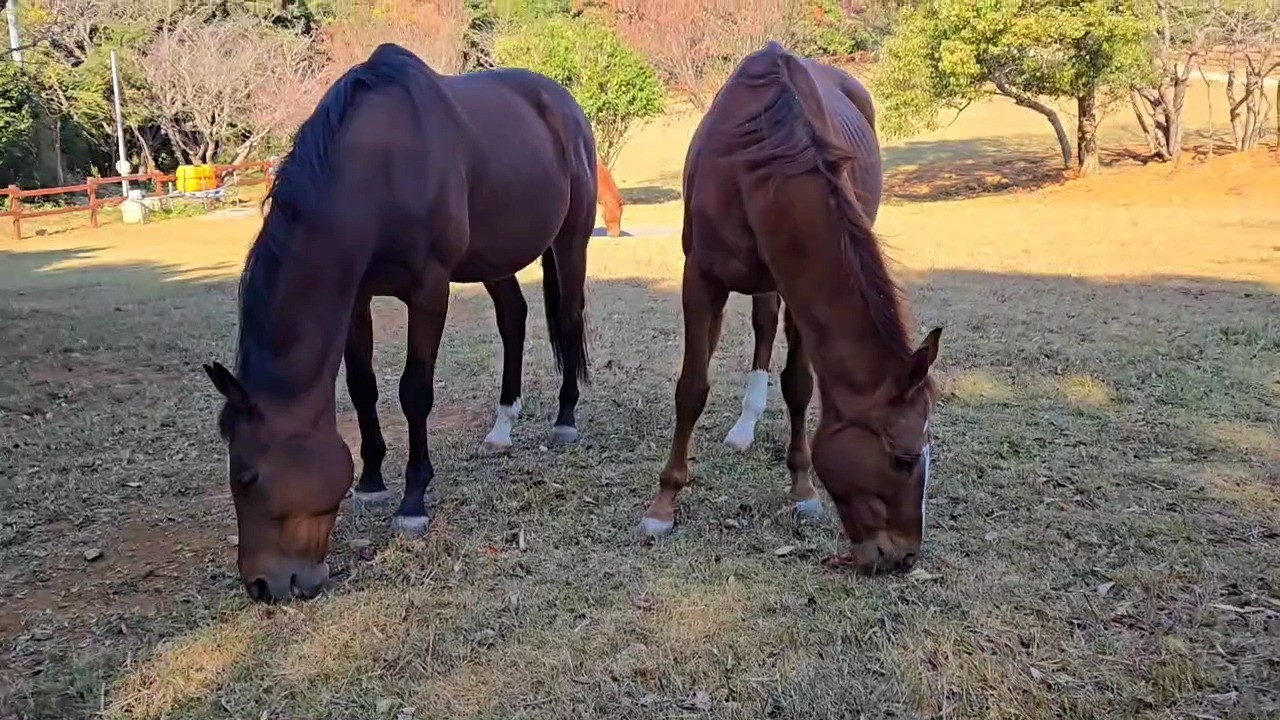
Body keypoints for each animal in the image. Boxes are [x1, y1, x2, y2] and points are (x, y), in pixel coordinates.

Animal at [203, 40, 593, 599]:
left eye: (249, 478)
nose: (260, 586)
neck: (379, 166)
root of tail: (563, 103)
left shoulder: (429, 290)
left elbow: (415, 392)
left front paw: (413, 501)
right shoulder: (357, 296)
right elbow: (363, 387)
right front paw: (370, 482)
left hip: (571, 239)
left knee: (567, 317)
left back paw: (565, 417)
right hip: (492, 257)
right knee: (513, 318)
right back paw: (502, 427)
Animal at [640, 41, 942, 573]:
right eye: (904, 458)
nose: (904, 557)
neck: (758, 167)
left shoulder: (799, 290)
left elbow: (799, 387)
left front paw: (803, 491)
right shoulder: (700, 279)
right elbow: (691, 388)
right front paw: (663, 505)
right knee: (753, 331)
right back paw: (743, 426)